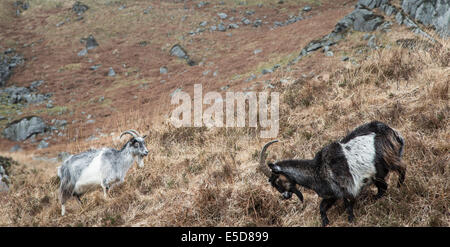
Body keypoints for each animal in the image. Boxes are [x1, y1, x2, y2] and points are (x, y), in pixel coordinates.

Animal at [258, 120, 406, 227]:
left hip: (386, 161)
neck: (318, 170)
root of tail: (391, 131)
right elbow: (322, 208)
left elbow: (348, 207)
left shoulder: (347, 188)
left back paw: (400, 187)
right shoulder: (332, 195)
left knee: (401, 168)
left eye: (277, 180)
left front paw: (351, 221)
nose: (285, 196)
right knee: (383, 187)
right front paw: (325, 222)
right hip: (377, 174)